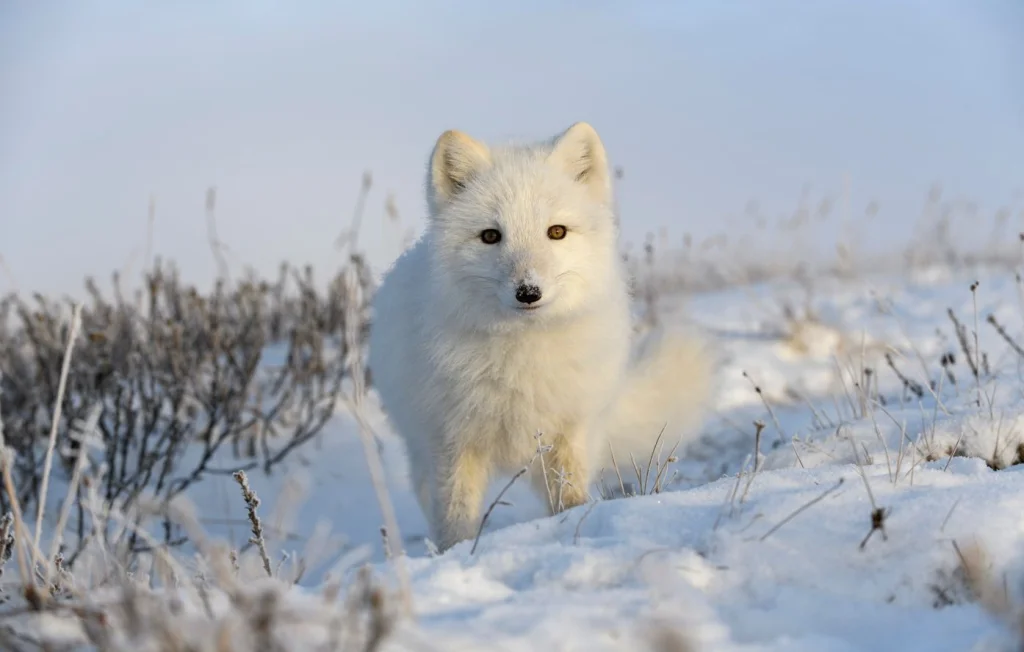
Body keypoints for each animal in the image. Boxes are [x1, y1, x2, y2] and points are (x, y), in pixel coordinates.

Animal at [367, 122, 713, 551]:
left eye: (556, 232)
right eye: (490, 236)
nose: (528, 292)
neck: (521, 361)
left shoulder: (568, 434)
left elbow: (570, 499)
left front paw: (571, 530)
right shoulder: (454, 443)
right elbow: (455, 520)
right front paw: (458, 555)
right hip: (423, 453)